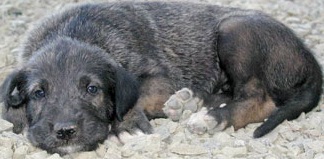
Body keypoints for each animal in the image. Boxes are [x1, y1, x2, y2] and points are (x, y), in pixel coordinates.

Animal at [0, 1, 322, 155]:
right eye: (38, 93)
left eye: (93, 89)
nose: (65, 132)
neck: (76, 32)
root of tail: (308, 58)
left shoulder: (158, 78)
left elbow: (137, 95)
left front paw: (128, 126)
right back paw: (191, 102)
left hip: (235, 30)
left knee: (259, 98)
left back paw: (209, 117)